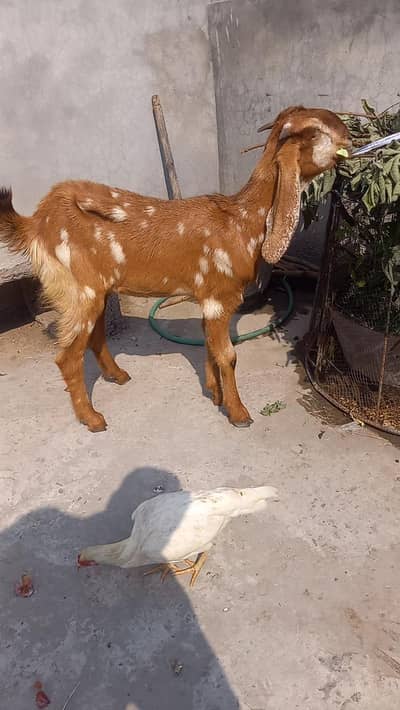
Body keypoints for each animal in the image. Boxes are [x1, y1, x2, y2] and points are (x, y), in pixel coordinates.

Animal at [0, 106, 351, 432]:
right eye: (316, 131)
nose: (349, 137)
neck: (241, 221)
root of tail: (36, 222)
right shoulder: (218, 296)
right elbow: (228, 354)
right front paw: (238, 413)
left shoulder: (209, 300)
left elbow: (210, 345)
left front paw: (215, 394)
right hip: (77, 290)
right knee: (67, 357)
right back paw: (93, 418)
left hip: (96, 290)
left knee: (95, 336)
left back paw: (118, 375)